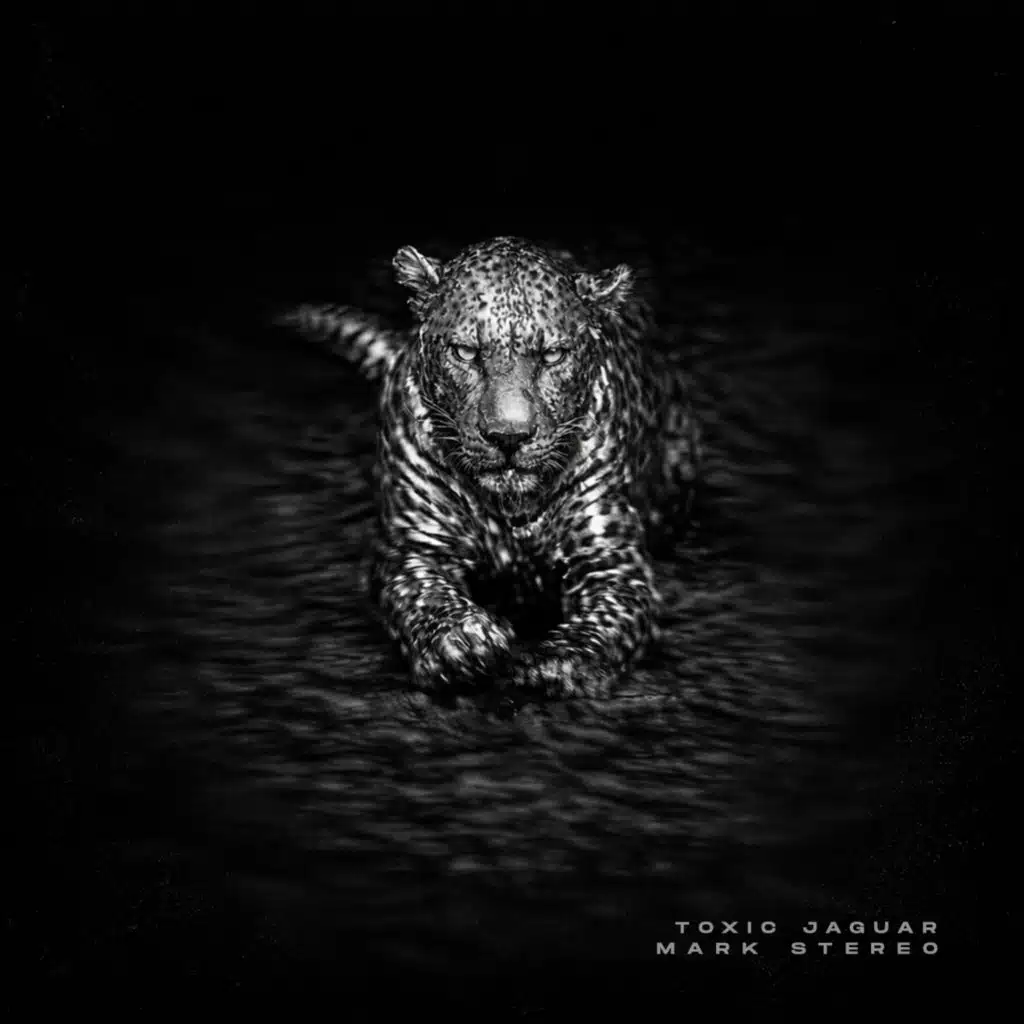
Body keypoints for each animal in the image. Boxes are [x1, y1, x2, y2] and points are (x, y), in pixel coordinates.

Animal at [275, 236, 701, 698]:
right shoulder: (412, 548)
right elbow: (420, 595)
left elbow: (609, 622)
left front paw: (555, 663)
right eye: (466, 352)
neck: (512, 511)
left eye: (553, 355)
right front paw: (461, 642)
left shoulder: (613, 562)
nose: (509, 436)